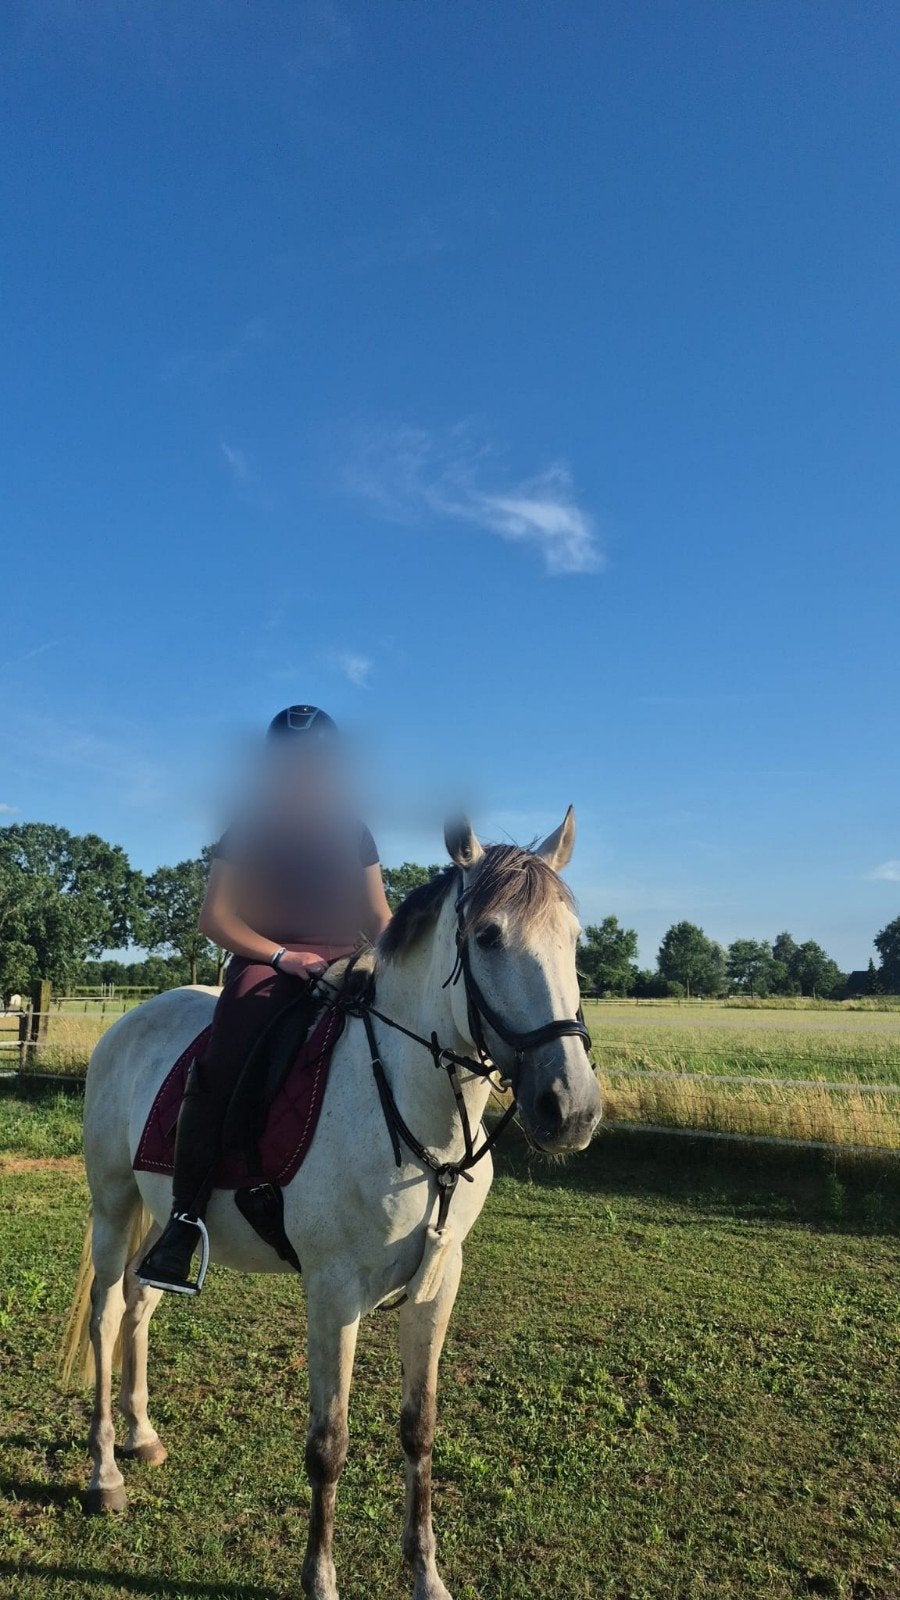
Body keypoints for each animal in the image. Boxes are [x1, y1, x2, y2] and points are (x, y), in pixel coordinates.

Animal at [60, 810, 602, 1600]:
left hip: (164, 1219)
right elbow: (329, 1443)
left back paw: (141, 1434)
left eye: (575, 938)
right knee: (104, 1315)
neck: (411, 1112)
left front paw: (426, 1574)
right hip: (112, 1203)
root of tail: (131, 1021)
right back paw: (104, 1474)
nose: (572, 1108)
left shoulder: (439, 1284)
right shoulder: (333, 1291)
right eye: (489, 936)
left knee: (140, 1300)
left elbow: (420, 1428)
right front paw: (319, 1577)